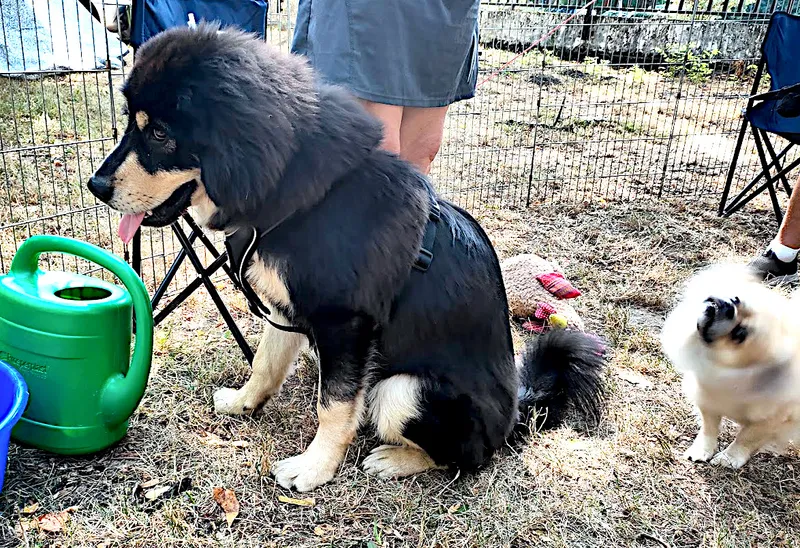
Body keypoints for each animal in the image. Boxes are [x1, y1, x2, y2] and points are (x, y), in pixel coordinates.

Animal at [87, 24, 605, 491]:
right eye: (133, 123)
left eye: (159, 134)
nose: (95, 186)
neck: (302, 196)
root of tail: (518, 412)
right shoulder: (284, 309)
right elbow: (266, 362)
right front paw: (244, 403)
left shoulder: (345, 323)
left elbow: (333, 405)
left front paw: (313, 469)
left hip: (401, 390)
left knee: (466, 457)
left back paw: (395, 458)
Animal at [661, 265, 800, 469]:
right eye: (736, 299)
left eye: (739, 334)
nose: (728, 307)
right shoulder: (707, 401)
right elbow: (708, 429)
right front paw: (701, 450)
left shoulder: (771, 422)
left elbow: (746, 439)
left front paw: (729, 458)